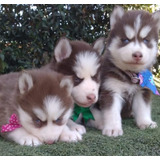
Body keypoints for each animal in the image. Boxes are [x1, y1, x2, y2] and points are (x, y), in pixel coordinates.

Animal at [88, 5, 160, 136]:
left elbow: (143, 108)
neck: (130, 75)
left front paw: (146, 123)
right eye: (126, 40)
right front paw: (112, 128)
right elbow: (111, 112)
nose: (137, 55)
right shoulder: (110, 90)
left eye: (145, 40)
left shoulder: (142, 91)